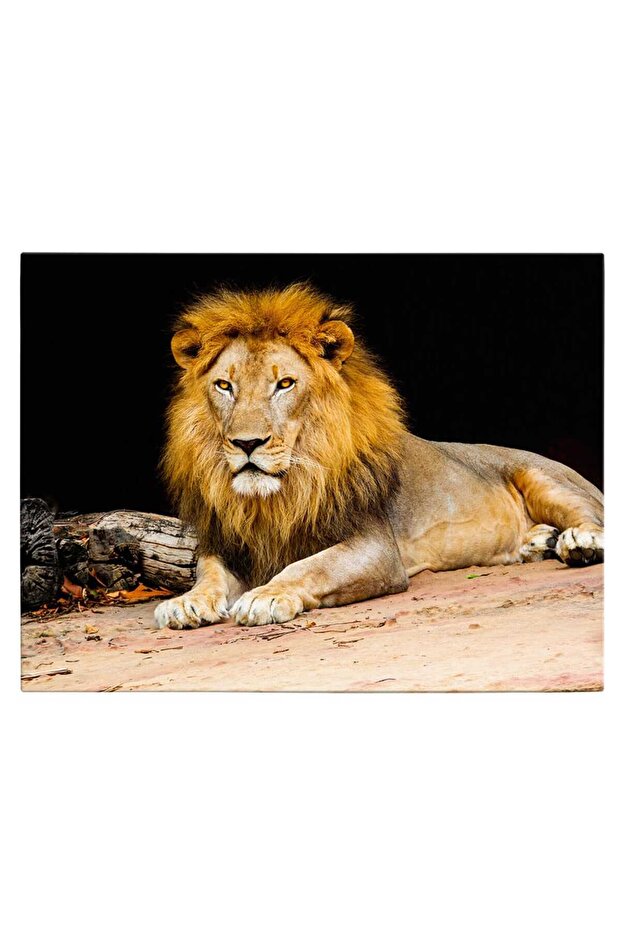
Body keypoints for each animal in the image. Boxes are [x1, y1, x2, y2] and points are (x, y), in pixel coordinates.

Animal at [154, 284, 604, 629]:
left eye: (284, 384)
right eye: (224, 385)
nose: (247, 443)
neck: (280, 495)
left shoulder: (376, 548)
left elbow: (311, 566)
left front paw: (267, 596)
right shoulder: (229, 542)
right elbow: (207, 573)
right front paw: (187, 602)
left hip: (544, 476)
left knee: (591, 516)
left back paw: (577, 543)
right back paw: (538, 542)